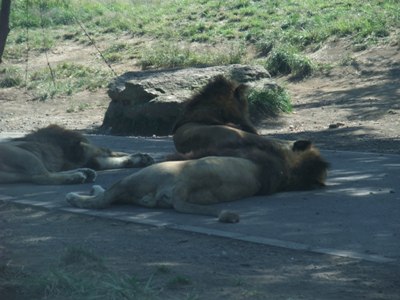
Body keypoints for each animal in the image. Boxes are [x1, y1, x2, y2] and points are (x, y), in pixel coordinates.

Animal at [0, 124, 155, 185]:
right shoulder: (88, 152)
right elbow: (113, 153)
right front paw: (142, 157)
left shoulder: (89, 157)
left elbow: (114, 156)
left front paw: (143, 158)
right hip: (24, 155)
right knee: (41, 177)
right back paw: (76, 177)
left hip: (19, 171)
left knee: (36, 175)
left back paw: (85, 173)